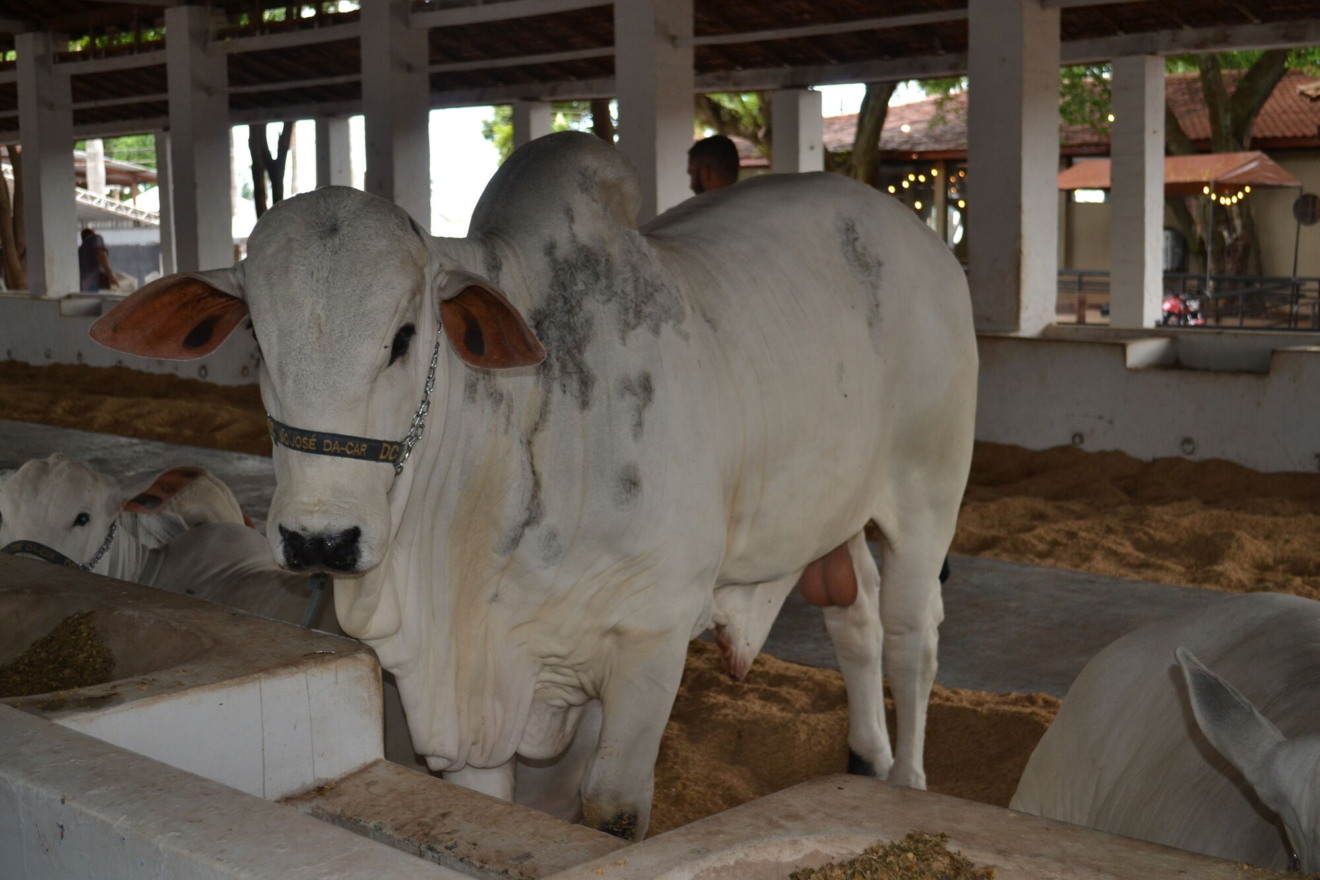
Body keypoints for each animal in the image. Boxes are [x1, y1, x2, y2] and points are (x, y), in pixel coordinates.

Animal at [90, 130, 982, 839]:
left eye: (404, 336)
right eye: (258, 341)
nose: (321, 539)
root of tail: (919, 235)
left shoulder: (653, 636)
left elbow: (612, 811)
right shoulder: (476, 704)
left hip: (927, 489)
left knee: (912, 634)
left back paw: (908, 784)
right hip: (837, 508)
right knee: (854, 617)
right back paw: (866, 758)